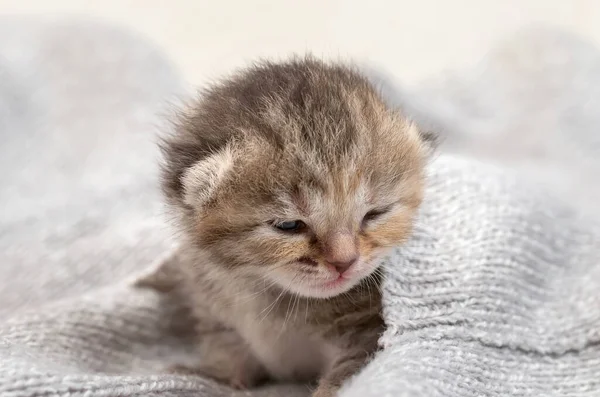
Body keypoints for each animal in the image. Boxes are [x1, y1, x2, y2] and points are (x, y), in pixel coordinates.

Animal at [148, 55, 434, 396]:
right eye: (288, 225)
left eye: (374, 214)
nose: (345, 262)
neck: (270, 294)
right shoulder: (213, 304)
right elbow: (227, 350)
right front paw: (214, 376)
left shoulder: (367, 333)